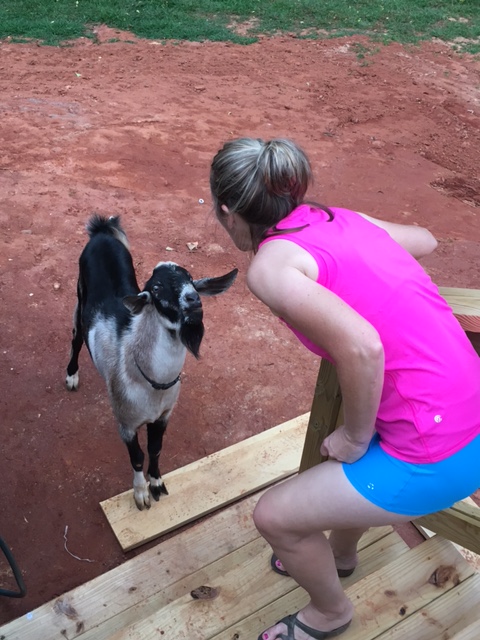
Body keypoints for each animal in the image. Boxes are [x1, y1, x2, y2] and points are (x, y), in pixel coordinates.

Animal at [66, 214, 237, 510]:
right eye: (156, 288)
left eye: (191, 280)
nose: (193, 300)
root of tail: (101, 231)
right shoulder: (125, 423)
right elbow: (137, 456)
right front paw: (140, 494)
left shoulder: (163, 415)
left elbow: (155, 450)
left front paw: (156, 484)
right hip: (79, 296)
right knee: (76, 337)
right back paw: (71, 375)